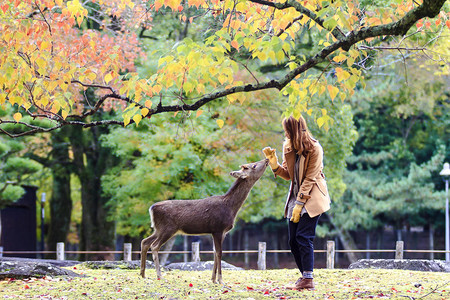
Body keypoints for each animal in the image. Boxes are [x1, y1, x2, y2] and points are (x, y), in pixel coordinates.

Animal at [140, 159, 268, 284]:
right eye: (253, 165)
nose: (266, 159)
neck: (230, 208)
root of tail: (152, 208)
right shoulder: (217, 228)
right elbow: (219, 253)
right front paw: (220, 280)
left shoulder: (221, 232)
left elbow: (215, 252)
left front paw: (213, 279)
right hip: (168, 228)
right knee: (154, 246)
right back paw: (159, 275)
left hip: (158, 229)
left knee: (145, 241)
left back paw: (143, 274)